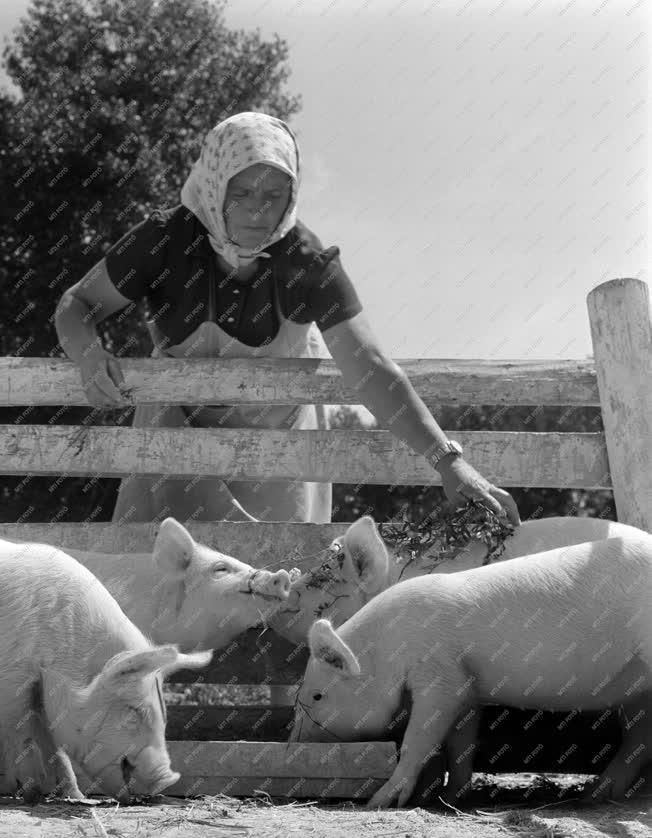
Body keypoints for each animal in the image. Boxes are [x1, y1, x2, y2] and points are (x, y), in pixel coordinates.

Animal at [0, 540, 210, 808]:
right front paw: (31, 796)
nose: (168, 779)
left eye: (163, 714)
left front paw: (77, 797)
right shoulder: (13, 685)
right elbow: (22, 740)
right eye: (134, 710)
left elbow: (54, 748)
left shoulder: (41, 693)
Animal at [292, 516, 652, 812]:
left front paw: (379, 803)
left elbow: (417, 739)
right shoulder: (466, 685)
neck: (388, 648)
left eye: (317, 696)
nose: (294, 742)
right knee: (639, 738)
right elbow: (460, 744)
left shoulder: (440, 674)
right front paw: (451, 799)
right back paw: (596, 795)